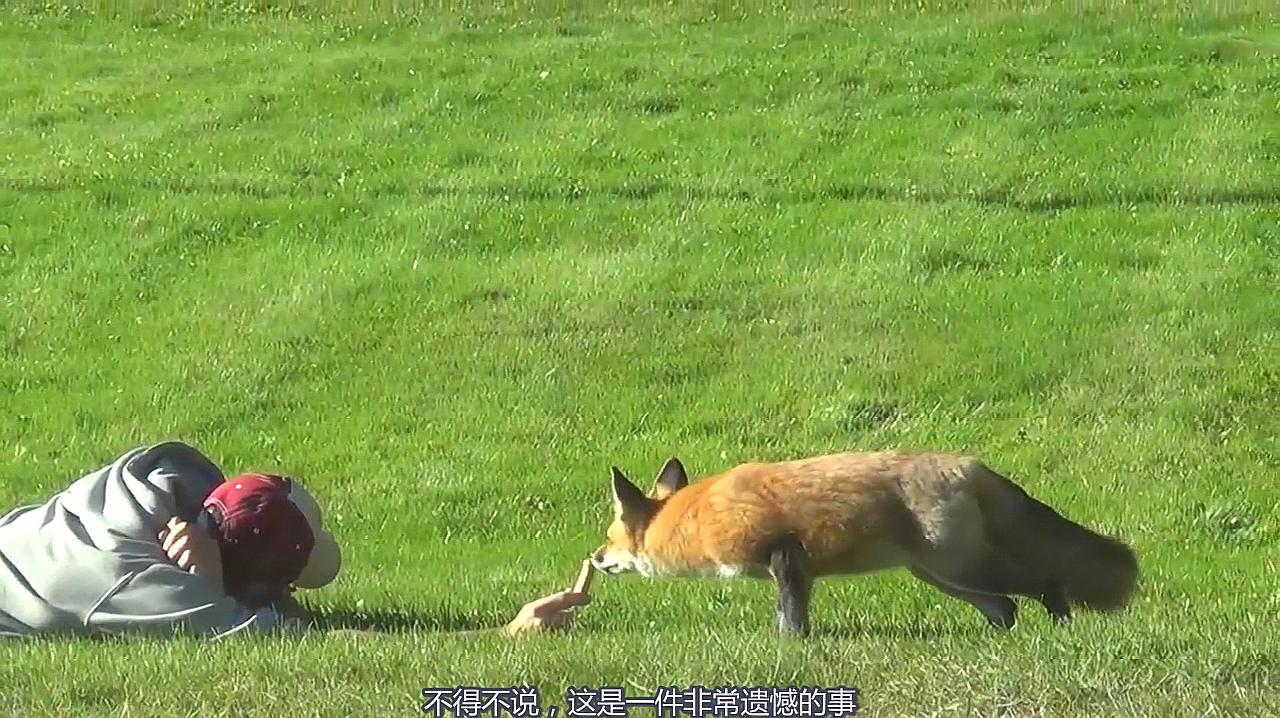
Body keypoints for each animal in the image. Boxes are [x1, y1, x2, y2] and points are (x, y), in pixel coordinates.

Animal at [588, 450, 1141, 634]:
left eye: (609, 538)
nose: (593, 558)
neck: (694, 517)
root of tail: (970, 464)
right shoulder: (793, 568)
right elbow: (785, 616)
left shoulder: (785, 556)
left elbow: (792, 619)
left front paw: (793, 649)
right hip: (941, 576)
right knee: (1004, 607)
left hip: (959, 567)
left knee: (1043, 582)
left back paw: (1060, 624)